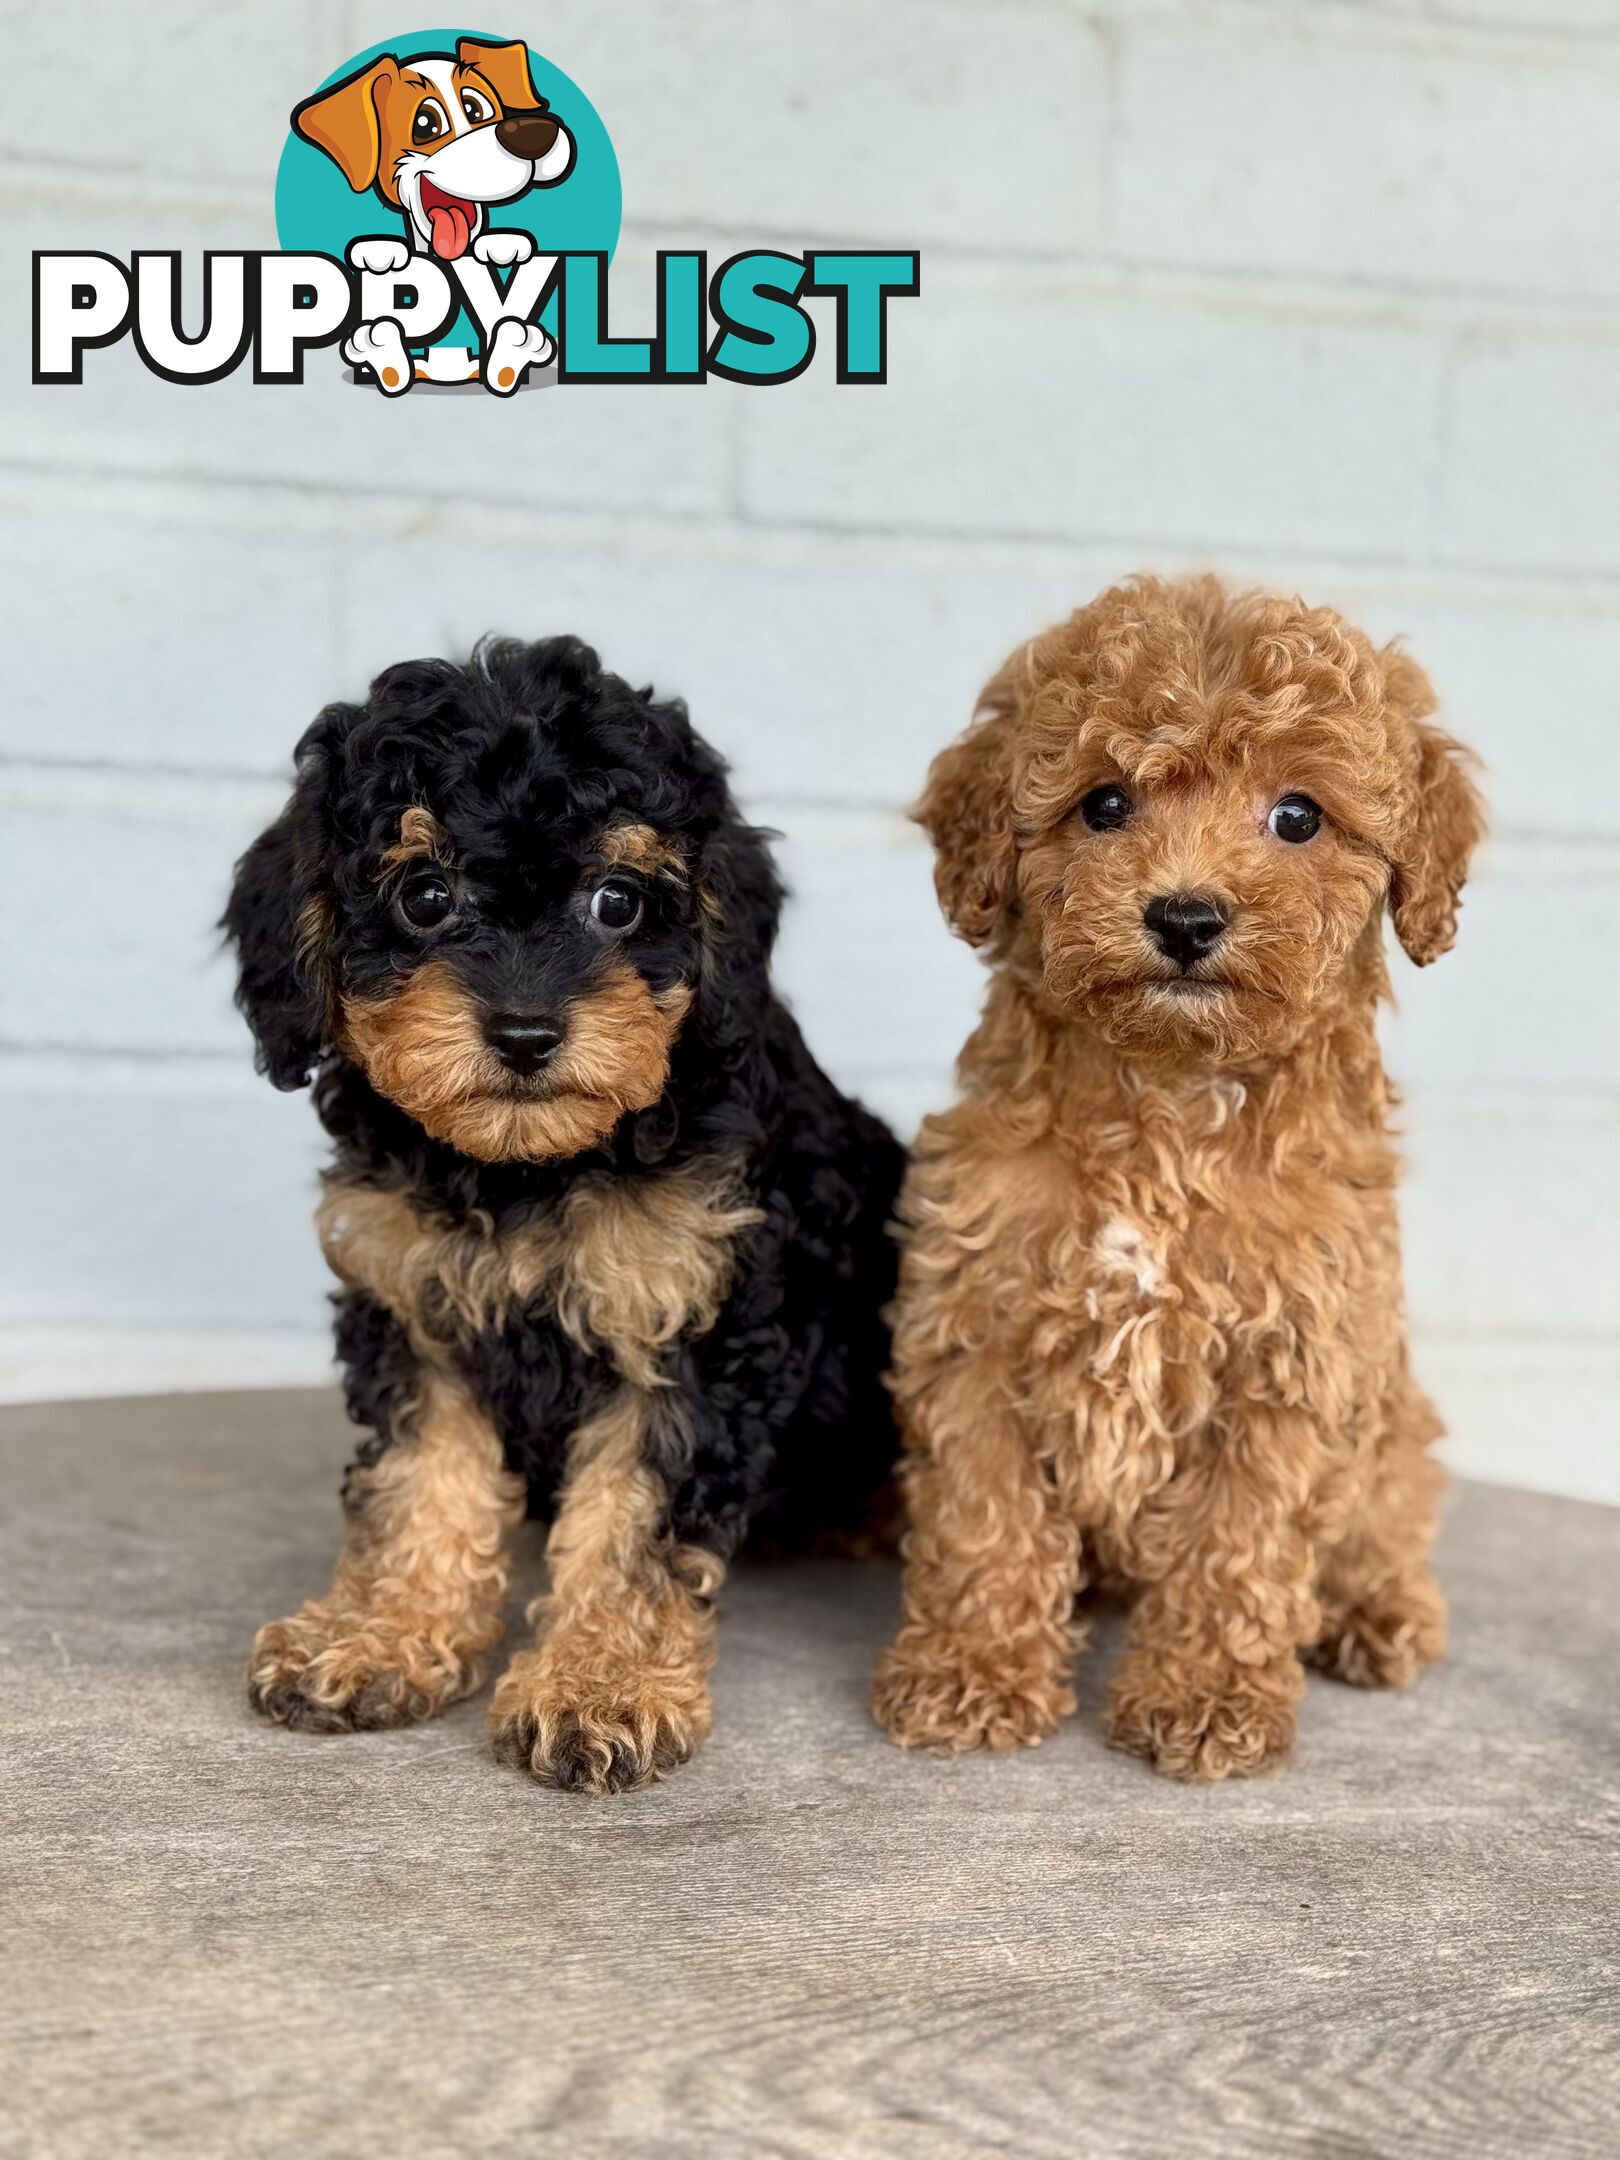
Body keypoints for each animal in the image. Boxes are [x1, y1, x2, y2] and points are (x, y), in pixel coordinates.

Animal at [223, 635, 907, 1788]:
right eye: (426, 894)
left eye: (618, 902)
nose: (527, 1033)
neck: (525, 1170)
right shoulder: (414, 1305)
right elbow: (421, 1481)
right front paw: (378, 1636)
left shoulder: (694, 1323)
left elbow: (631, 1521)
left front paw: (599, 1686)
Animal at [876, 574, 1486, 1771]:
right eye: (1104, 805)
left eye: (1298, 815)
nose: (1187, 914)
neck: (1168, 1100)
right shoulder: (974, 1321)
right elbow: (984, 1516)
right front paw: (972, 1669)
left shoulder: (1291, 1362)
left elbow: (1236, 1543)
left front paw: (1207, 1693)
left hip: (1392, 1421)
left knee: (1390, 1512)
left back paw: (1378, 1612)